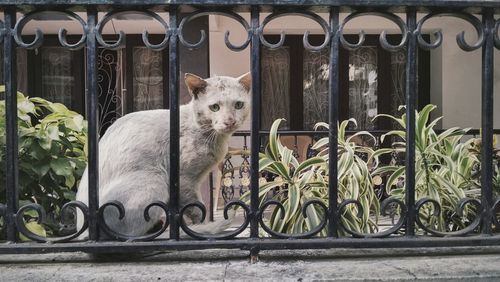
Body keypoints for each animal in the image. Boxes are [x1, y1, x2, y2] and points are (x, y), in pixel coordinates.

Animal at [75, 73, 252, 240]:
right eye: (214, 107)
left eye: (238, 105)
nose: (230, 121)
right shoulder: (185, 180)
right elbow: (196, 209)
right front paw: (200, 227)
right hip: (156, 180)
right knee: (131, 234)